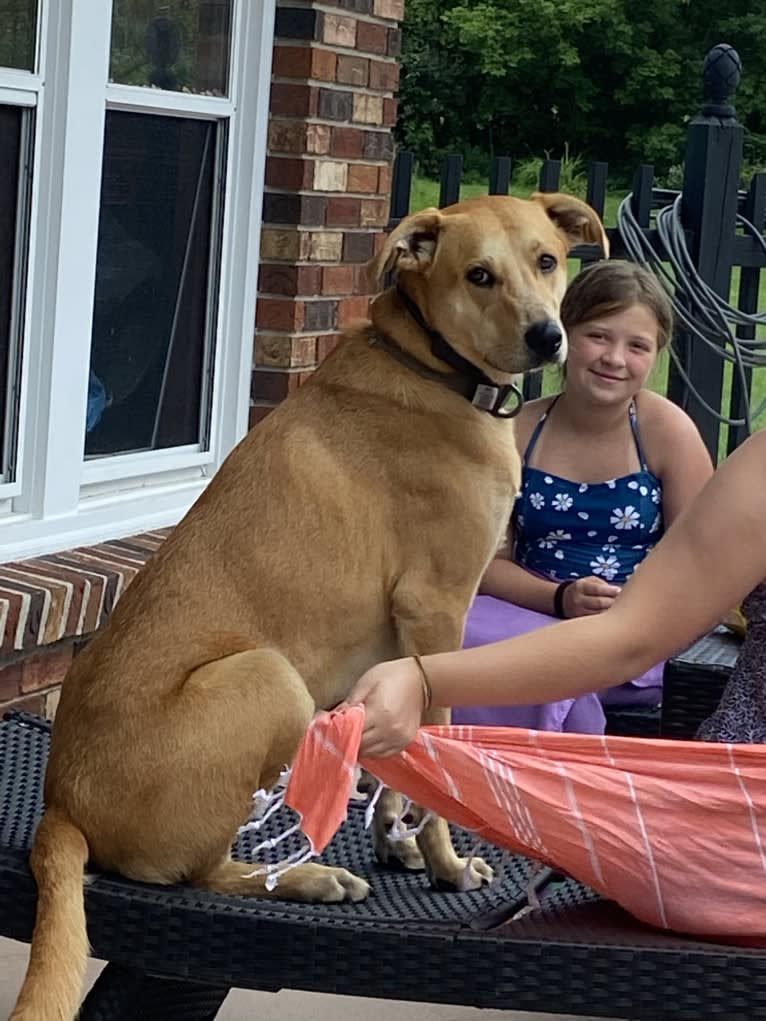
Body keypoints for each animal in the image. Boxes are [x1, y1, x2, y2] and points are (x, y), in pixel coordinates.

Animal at [9, 192, 608, 1021]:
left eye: (547, 260)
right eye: (478, 275)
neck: (433, 366)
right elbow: (437, 752)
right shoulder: (438, 610)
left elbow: (402, 758)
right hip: (270, 676)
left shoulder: (401, 640)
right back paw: (309, 878)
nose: (547, 335)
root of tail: (61, 803)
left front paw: (394, 838)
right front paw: (445, 863)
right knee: (200, 874)